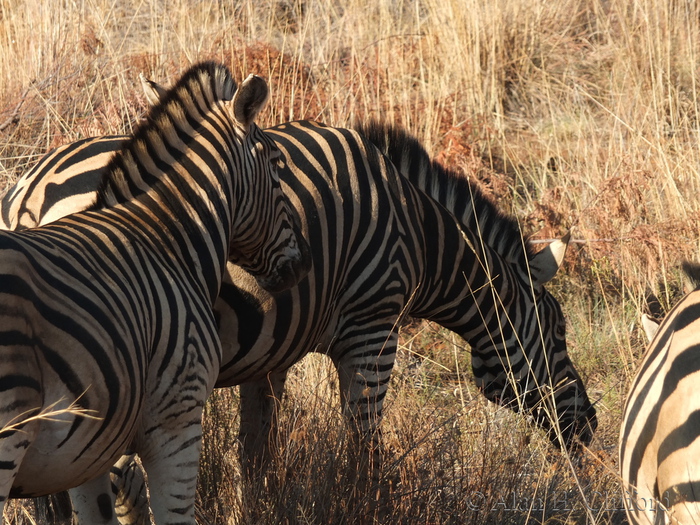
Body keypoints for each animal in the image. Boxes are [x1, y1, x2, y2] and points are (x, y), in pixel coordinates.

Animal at [0, 61, 310, 524]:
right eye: (278, 168)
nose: (300, 264)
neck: (165, 238)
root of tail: (27, 197)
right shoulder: (177, 420)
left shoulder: (87, 451)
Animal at [2, 114, 598, 518]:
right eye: (558, 332)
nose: (590, 426)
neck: (418, 234)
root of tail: (32, 188)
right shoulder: (371, 332)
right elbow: (364, 450)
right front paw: (366, 509)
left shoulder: (269, 352)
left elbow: (255, 455)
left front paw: (255, 512)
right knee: (118, 482)